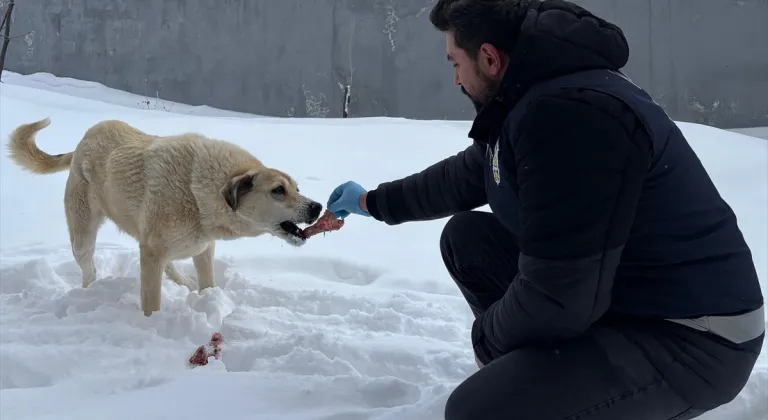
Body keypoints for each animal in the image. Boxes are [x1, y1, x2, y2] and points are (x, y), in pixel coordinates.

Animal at [3, 118, 320, 316]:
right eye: (278, 190)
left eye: (297, 189)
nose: (317, 207)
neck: (198, 190)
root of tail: (86, 138)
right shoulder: (153, 252)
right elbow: (151, 302)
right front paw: (152, 326)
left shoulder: (202, 249)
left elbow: (207, 284)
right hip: (83, 235)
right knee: (88, 269)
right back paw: (90, 290)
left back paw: (183, 283)